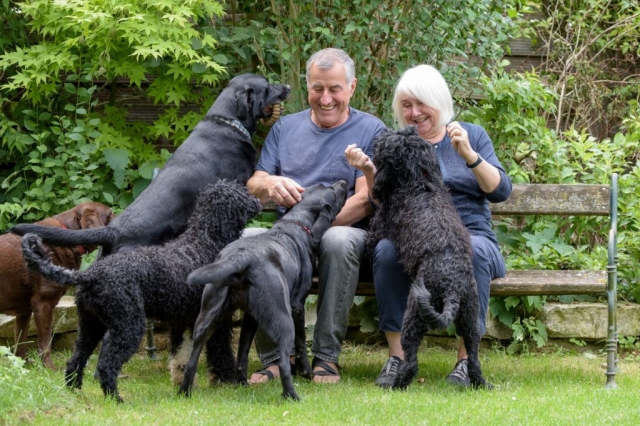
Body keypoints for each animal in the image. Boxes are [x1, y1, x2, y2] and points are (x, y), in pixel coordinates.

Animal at [0, 201, 114, 368]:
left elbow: (21, 341)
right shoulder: (43, 303)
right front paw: (50, 368)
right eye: (110, 214)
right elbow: (45, 342)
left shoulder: (24, 311)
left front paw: (24, 365)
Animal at [21, 181, 262, 402]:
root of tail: (90, 275)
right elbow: (221, 352)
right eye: (243, 193)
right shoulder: (216, 319)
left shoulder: (183, 319)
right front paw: (229, 379)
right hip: (127, 326)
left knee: (76, 360)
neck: (205, 240)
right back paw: (115, 398)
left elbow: (181, 354)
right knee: (106, 364)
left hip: (90, 326)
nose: (259, 200)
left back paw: (76, 392)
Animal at [178, 181, 348, 402]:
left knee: (192, 362)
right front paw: (306, 372)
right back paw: (293, 397)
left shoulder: (250, 318)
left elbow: (242, 353)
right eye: (332, 192)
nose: (343, 183)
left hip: (206, 319)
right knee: (284, 363)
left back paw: (186, 392)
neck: (294, 223)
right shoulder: (297, 306)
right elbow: (301, 343)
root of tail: (241, 258)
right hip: (283, 318)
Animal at [370, 126, 490, 390]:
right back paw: (480, 383)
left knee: (411, 361)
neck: (419, 182)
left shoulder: (378, 228)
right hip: (470, 320)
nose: (382, 132)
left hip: (414, 316)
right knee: (474, 359)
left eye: (389, 143)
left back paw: (397, 384)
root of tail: (452, 285)